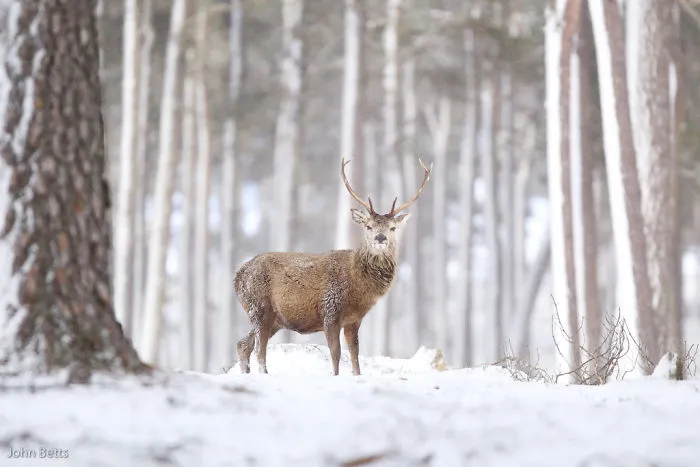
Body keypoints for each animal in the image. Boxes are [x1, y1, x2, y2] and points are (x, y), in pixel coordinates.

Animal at [233, 157, 432, 376]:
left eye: (393, 228)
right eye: (368, 226)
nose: (381, 238)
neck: (358, 287)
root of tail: (237, 276)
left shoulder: (354, 320)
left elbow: (355, 356)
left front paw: (356, 375)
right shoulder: (330, 311)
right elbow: (335, 354)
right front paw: (335, 376)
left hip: (272, 318)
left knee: (243, 344)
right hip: (259, 306)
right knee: (259, 349)